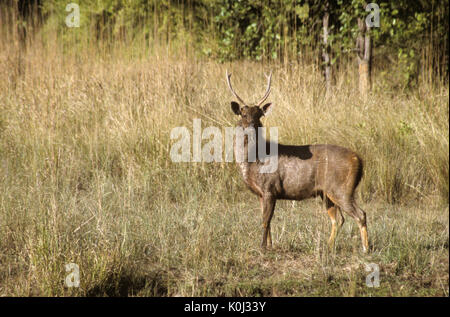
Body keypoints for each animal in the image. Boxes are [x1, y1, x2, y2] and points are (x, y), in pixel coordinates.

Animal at [225, 71, 370, 252]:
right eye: (243, 114)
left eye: (259, 116)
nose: (252, 127)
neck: (254, 162)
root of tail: (359, 160)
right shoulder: (261, 193)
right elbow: (268, 221)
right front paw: (270, 245)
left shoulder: (270, 187)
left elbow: (265, 221)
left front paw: (262, 247)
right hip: (326, 192)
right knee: (339, 219)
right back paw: (328, 247)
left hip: (342, 188)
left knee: (360, 214)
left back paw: (365, 249)